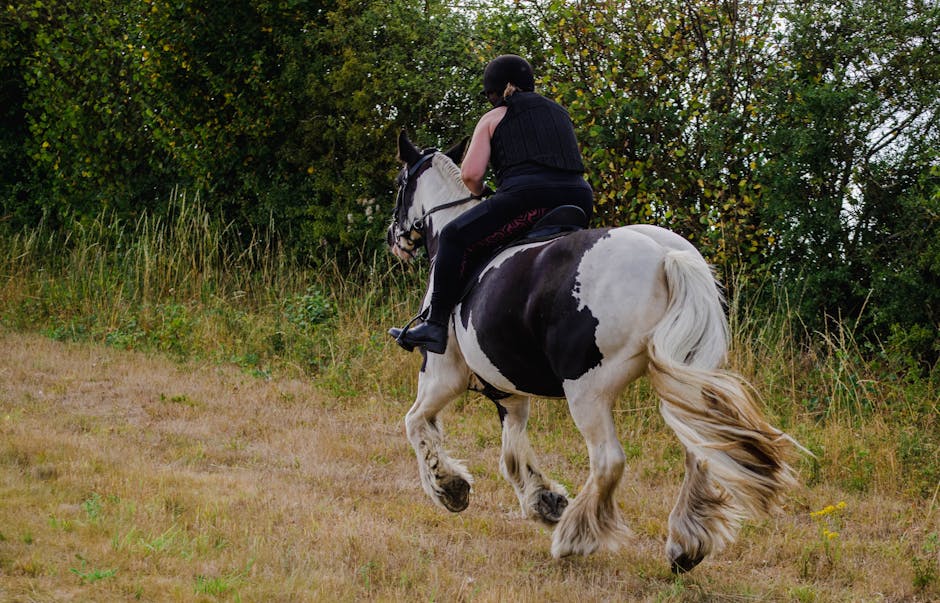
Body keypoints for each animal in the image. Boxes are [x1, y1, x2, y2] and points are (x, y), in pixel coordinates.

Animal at [382, 131, 800, 572]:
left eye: (399, 183)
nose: (394, 239)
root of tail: (666, 257)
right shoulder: (508, 390)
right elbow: (512, 451)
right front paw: (544, 501)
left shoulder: (442, 375)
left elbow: (416, 423)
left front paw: (449, 488)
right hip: (687, 378)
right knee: (700, 452)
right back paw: (686, 546)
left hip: (587, 391)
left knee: (608, 460)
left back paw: (575, 537)